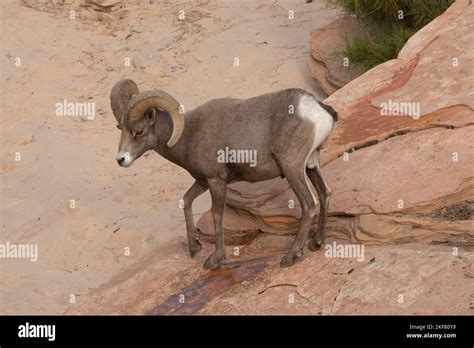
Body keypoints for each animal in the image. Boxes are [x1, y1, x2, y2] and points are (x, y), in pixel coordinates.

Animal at [110, 79, 336, 270]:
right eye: (120, 128)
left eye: (138, 131)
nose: (121, 160)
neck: (188, 135)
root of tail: (317, 111)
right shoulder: (202, 181)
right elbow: (186, 201)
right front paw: (195, 247)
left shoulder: (215, 180)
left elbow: (217, 214)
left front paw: (214, 259)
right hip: (311, 165)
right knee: (325, 193)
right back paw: (317, 242)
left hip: (292, 169)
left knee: (309, 204)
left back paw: (290, 257)